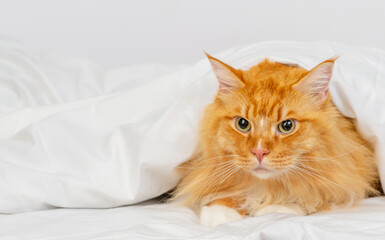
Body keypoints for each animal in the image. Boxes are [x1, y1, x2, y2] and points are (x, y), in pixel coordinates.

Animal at [172, 53, 380, 227]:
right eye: (242, 124)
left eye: (287, 126)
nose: (259, 152)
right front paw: (220, 212)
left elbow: (308, 196)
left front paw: (274, 208)